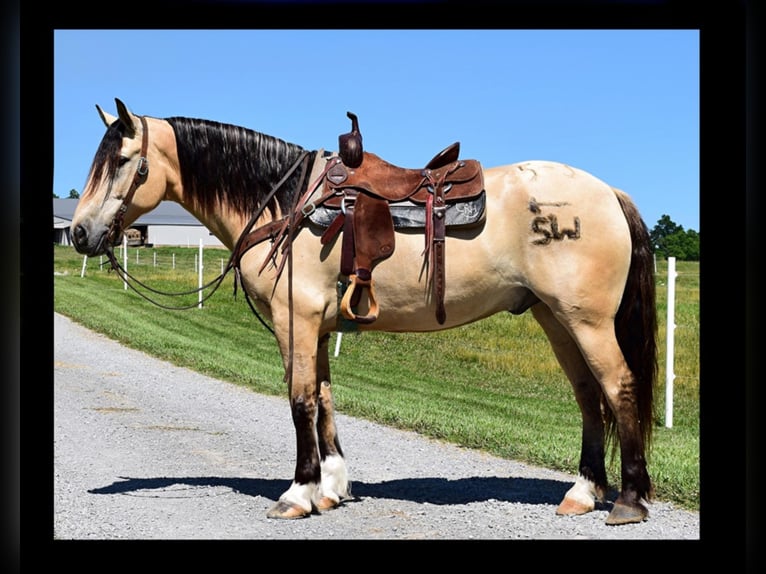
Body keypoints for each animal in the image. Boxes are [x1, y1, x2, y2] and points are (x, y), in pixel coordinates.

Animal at [70, 98, 660, 528]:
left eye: (120, 161)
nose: (78, 233)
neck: (285, 205)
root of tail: (608, 191)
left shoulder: (296, 322)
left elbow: (301, 402)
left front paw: (297, 492)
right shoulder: (317, 326)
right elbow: (326, 400)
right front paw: (330, 488)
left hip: (586, 321)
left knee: (619, 387)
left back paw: (628, 501)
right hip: (555, 320)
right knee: (588, 397)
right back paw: (582, 493)